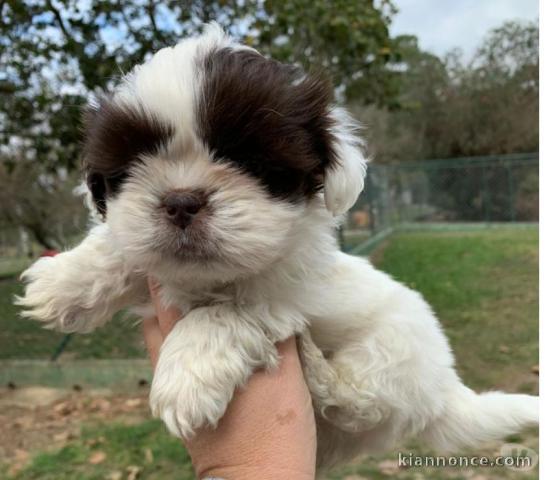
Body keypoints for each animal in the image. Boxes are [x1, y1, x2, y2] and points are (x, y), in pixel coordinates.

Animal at [17, 24, 536, 470]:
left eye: (250, 161)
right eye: (131, 166)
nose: (181, 200)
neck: (208, 276)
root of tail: (445, 390)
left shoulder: (285, 297)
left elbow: (223, 313)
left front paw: (186, 374)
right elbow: (121, 247)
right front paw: (64, 281)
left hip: (396, 349)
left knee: (361, 402)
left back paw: (319, 374)